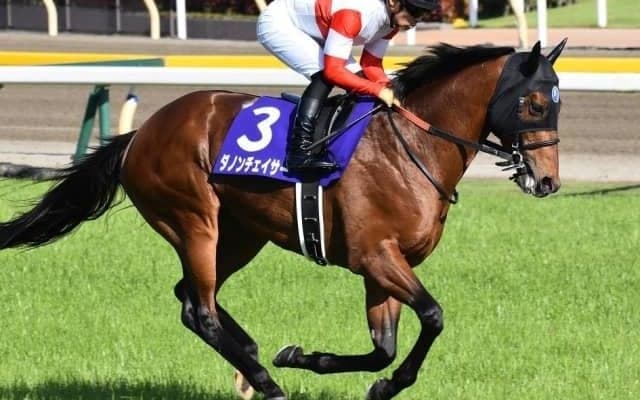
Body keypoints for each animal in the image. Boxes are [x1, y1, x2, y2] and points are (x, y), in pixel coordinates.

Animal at [0, 40, 566, 400]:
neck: (410, 147)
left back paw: (250, 361)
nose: (547, 181)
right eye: (535, 103)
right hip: (193, 220)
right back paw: (265, 384)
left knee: (190, 296)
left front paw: (305, 358)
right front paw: (357, 378)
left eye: (558, 104)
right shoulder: (375, 256)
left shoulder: (384, 265)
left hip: (240, 236)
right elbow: (432, 317)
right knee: (199, 310)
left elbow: (382, 349)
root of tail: (141, 134)